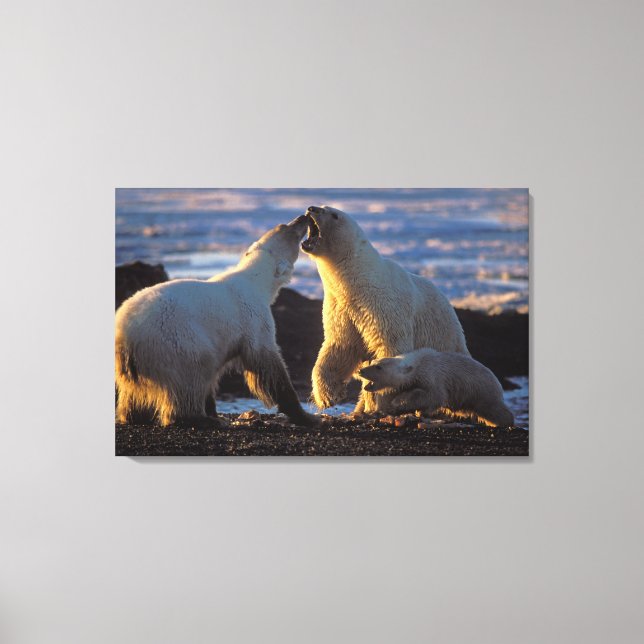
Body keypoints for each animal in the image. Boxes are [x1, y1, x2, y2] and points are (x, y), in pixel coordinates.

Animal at [115, 215, 318, 428]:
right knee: (193, 373)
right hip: (175, 342)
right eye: (289, 230)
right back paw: (199, 418)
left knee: (133, 391)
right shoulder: (254, 319)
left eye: (283, 225)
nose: (303, 217)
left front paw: (212, 408)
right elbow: (267, 363)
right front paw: (307, 416)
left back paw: (134, 415)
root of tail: (126, 337)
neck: (256, 280)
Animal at [300, 205, 469, 414]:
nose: (311, 208)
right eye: (322, 207)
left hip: (444, 339)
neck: (358, 281)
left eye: (333, 214)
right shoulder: (341, 308)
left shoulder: (383, 306)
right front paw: (328, 396)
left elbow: (390, 347)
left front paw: (381, 400)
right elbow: (340, 346)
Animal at [358, 348, 514, 427]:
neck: (417, 363)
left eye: (379, 367)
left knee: (494, 409)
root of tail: (497, 382)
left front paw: (398, 402)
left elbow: (434, 396)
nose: (361, 370)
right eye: (373, 361)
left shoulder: (432, 375)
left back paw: (507, 422)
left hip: (482, 391)